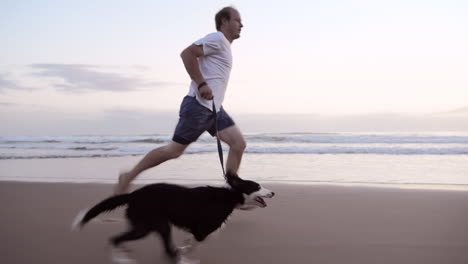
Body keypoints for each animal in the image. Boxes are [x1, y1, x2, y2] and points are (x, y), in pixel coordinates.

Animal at [73, 174, 274, 262]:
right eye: (257, 186)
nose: (273, 192)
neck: (230, 196)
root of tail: (133, 195)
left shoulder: (198, 230)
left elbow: (191, 242)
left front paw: (183, 250)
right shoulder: (202, 229)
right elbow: (195, 241)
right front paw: (185, 253)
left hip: (156, 225)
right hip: (146, 226)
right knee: (115, 239)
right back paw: (121, 258)